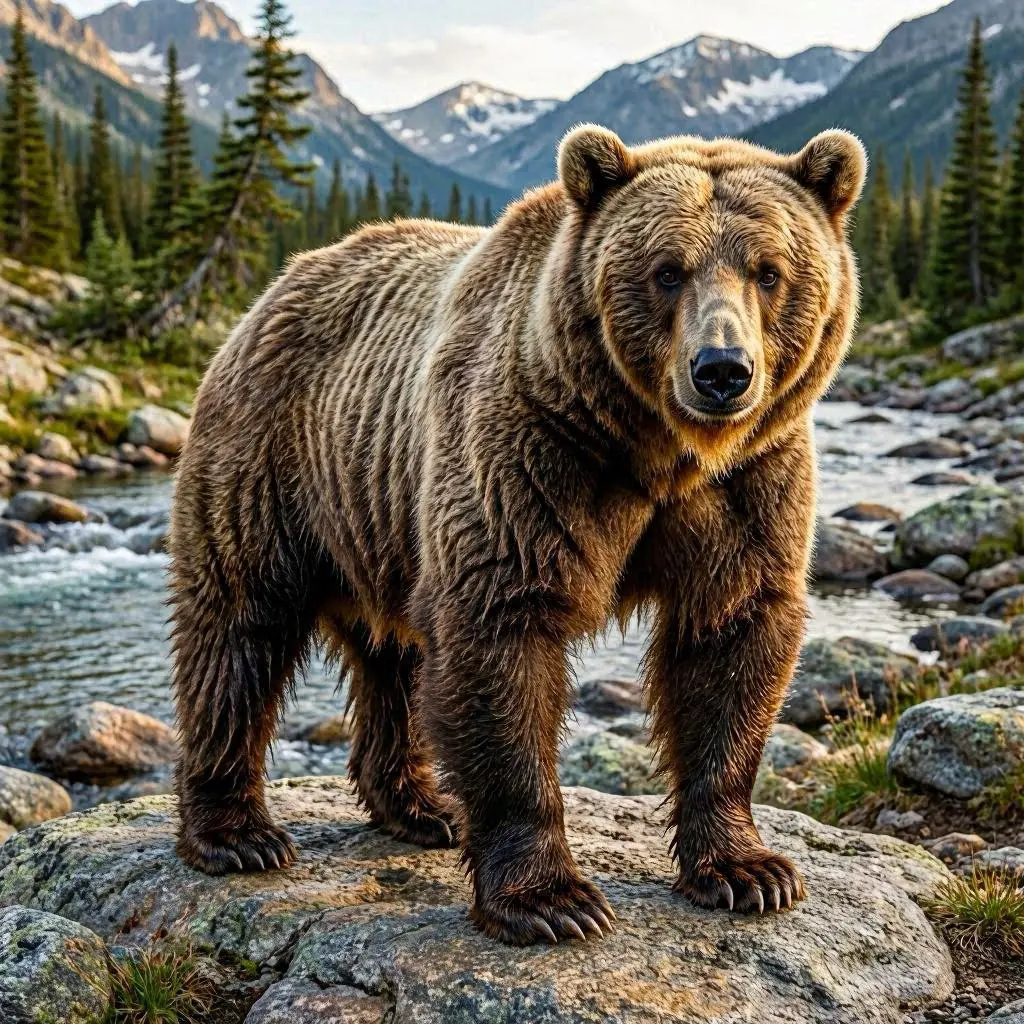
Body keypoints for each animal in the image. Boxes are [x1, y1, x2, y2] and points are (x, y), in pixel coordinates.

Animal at [169, 123, 866, 946]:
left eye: (768, 271)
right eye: (667, 271)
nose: (722, 369)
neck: (659, 453)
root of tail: (277, 286)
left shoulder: (750, 481)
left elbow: (732, 636)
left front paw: (747, 869)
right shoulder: (532, 454)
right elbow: (502, 631)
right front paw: (551, 899)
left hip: (384, 516)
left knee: (394, 657)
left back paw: (420, 805)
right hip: (273, 457)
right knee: (240, 621)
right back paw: (237, 832)